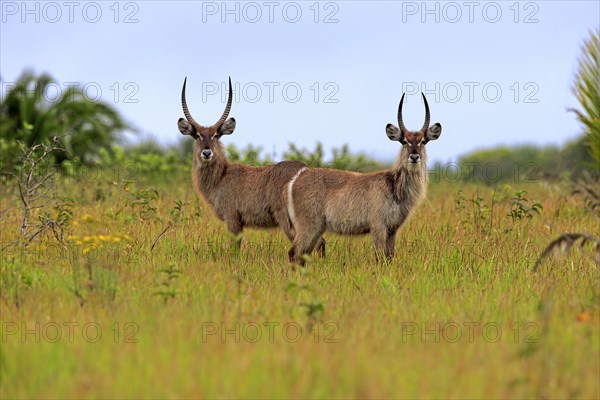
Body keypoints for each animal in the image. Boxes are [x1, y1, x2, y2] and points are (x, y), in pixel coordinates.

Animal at [178, 76, 326, 255]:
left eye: (216, 135)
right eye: (198, 135)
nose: (207, 153)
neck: (221, 177)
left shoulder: (232, 218)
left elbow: (234, 250)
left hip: (288, 220)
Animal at [286, 92, 440, 264]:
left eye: (423, 141)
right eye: (405, 141)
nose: (414, 157)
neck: (394, 185)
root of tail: (298, 177)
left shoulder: (392, 230)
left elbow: (390, 258)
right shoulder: (378, 226)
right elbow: (380, 258)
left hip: (317, 228)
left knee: (301, 255)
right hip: (309, 225)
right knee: (293, 253)